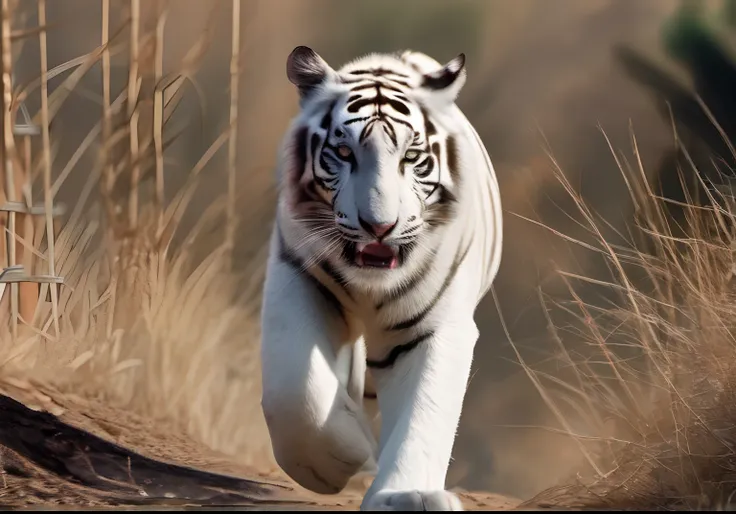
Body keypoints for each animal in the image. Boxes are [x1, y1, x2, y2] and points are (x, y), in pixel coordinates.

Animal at [260, 47, 506, 508]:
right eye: (343, 152)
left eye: (410, 157)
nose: (379, 226)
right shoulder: (299, 277)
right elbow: (295, 395)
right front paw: (337, 459)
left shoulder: (431, 327)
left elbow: (424, 412)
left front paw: (407, 495)